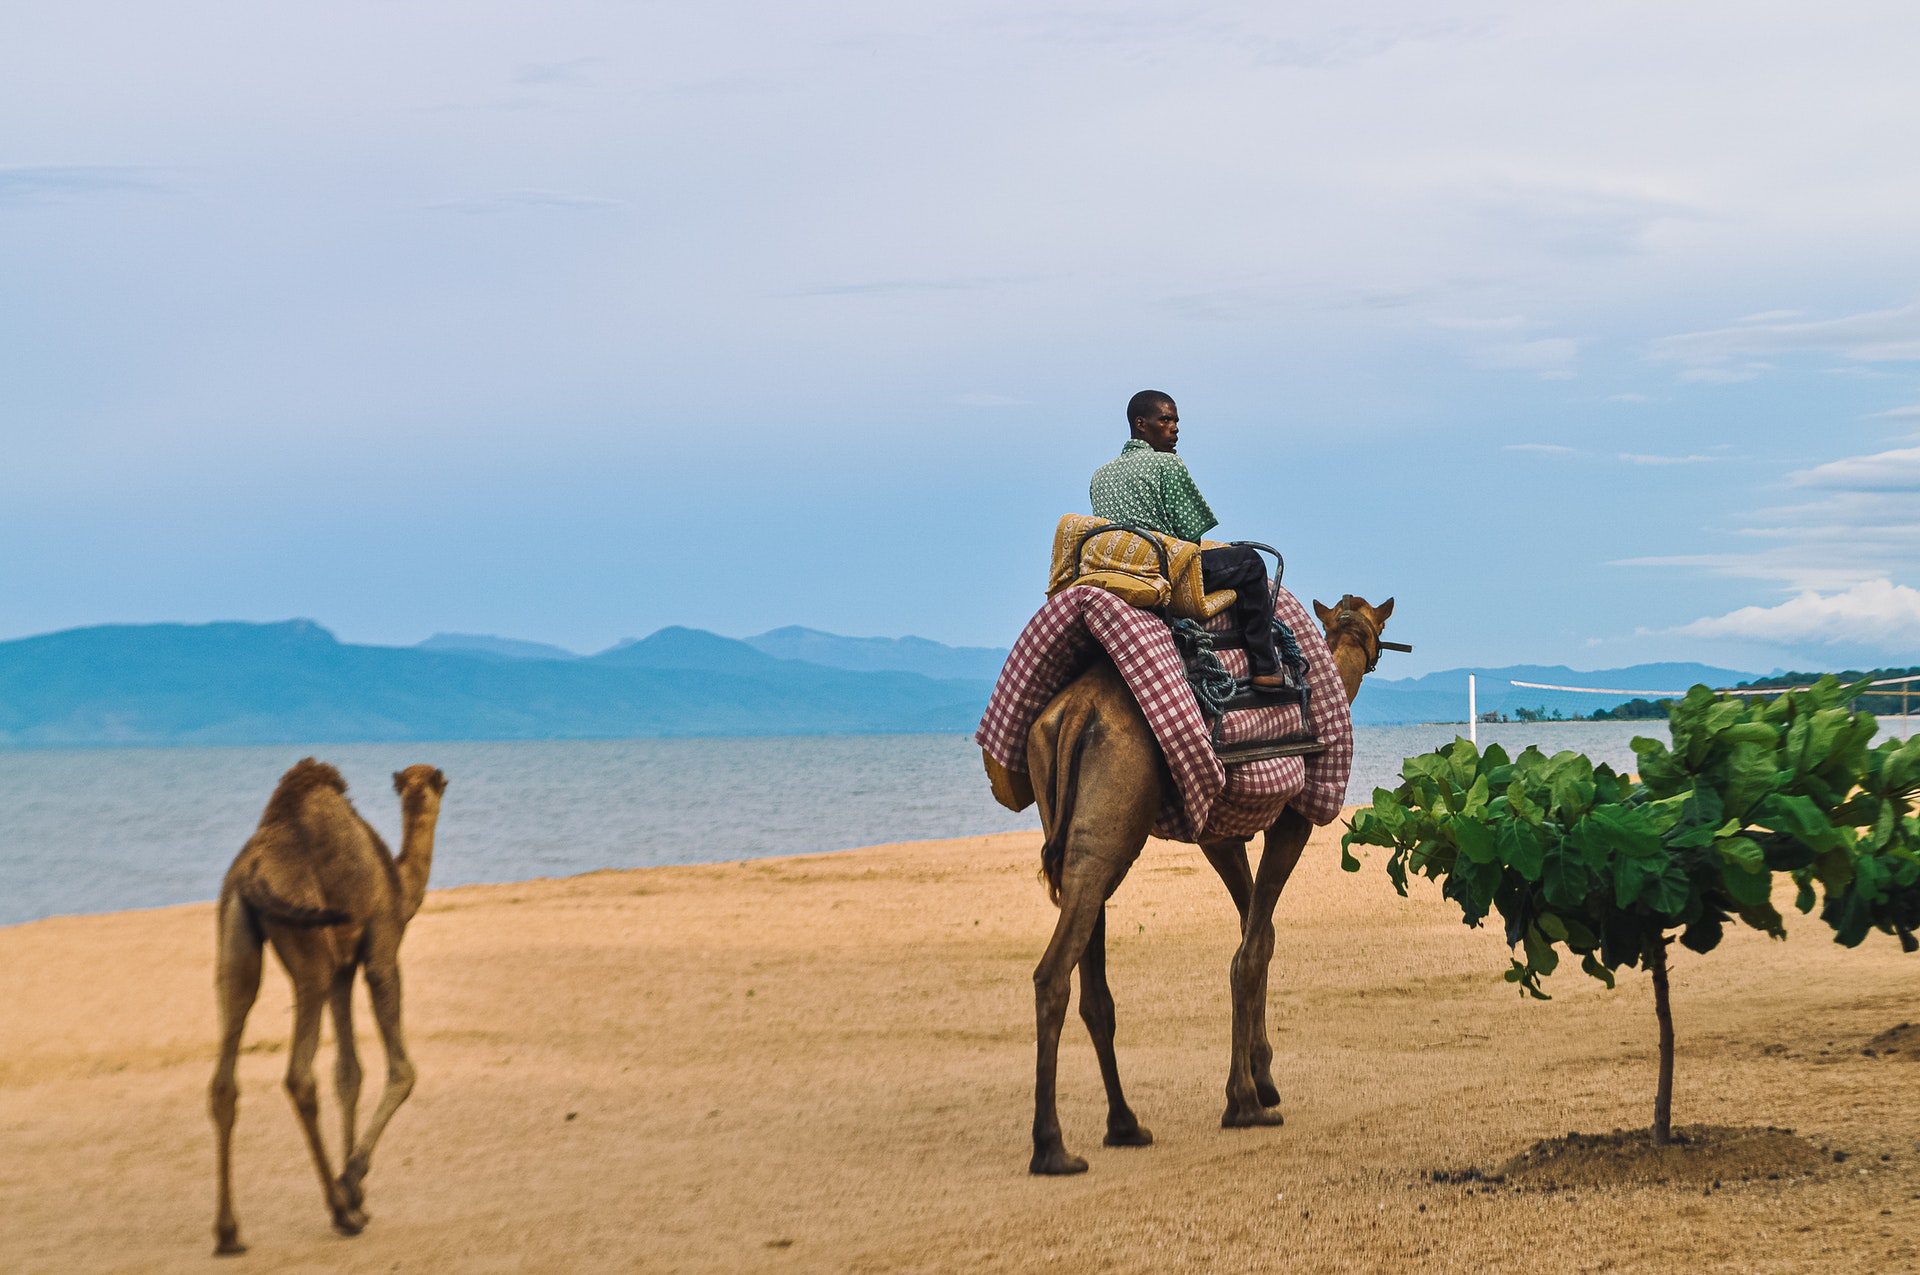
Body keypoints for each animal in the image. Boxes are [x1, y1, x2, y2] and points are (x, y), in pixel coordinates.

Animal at [209, 756, 445, 1251]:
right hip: (309, 954)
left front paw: (359, 1196)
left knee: (225, 1074)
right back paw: (339, 1212)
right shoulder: (379, 948)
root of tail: (252, 871)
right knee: (299, 1077)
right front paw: (351, 1182)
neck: (400, 883)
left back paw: (228, 1232)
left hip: (235, 937)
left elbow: (348, 1074)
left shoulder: (342, 970)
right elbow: (402, 1070)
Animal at [1021, 591, 1397, 1167]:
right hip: (1113, 822)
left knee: (1093, 986)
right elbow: (1250, 951)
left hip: (1080, 834)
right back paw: (1053, 1148)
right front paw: (1246, 1101)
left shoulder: (1220, 836)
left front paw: (1261, 1078)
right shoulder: (1292, 820)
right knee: (1053, 974)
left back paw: (1125, 1124)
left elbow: (1257, 936)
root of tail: (1076, 711)